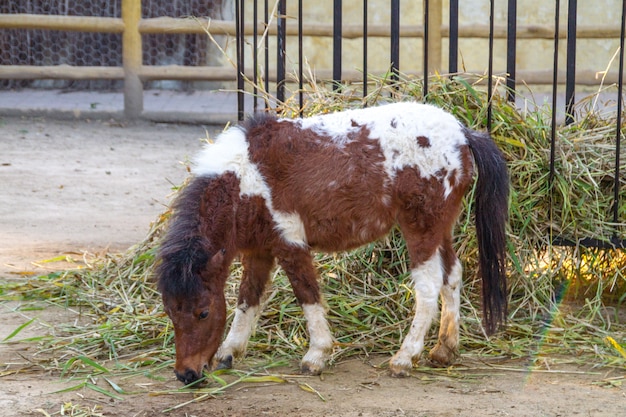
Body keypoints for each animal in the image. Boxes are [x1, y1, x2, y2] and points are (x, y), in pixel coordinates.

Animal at [155, 101, 508, 384]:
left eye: (202, 312)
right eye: (171, 312)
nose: (186, 374)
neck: (245, 179)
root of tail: (463, 133)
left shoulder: (290, 244)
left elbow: (307, 296)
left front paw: (317, 355)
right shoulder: (259, 251)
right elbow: (247, 299)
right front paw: (230, 351)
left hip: (421, 229)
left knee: (429, 285)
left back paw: (404, 358)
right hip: (440, 229)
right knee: (453, 275)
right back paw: (445, 349)